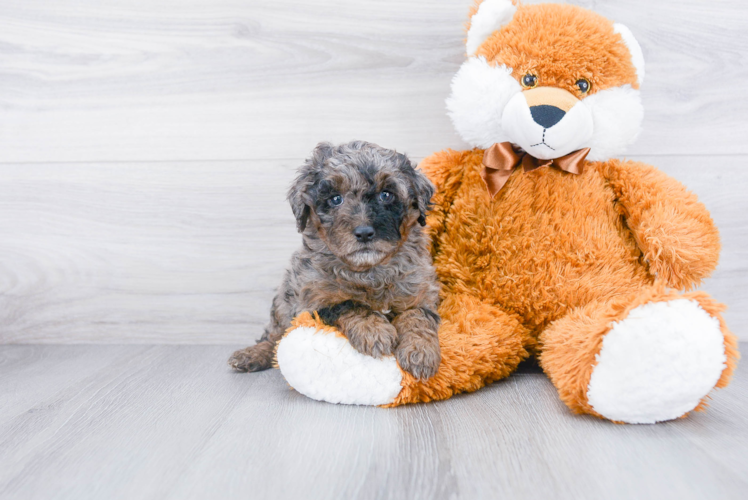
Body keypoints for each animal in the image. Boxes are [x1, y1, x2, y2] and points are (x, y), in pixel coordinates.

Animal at [231, 141, 442, 378]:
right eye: (335, 199)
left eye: (386, 195)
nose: (364, 233)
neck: (368, 270)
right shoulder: (313, 300)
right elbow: (348, 304)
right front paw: (374, 331)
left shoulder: (420, 291)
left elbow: (417, 316)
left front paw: (420, 352)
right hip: (282, 303)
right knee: (275, 336)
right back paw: (251, 355)